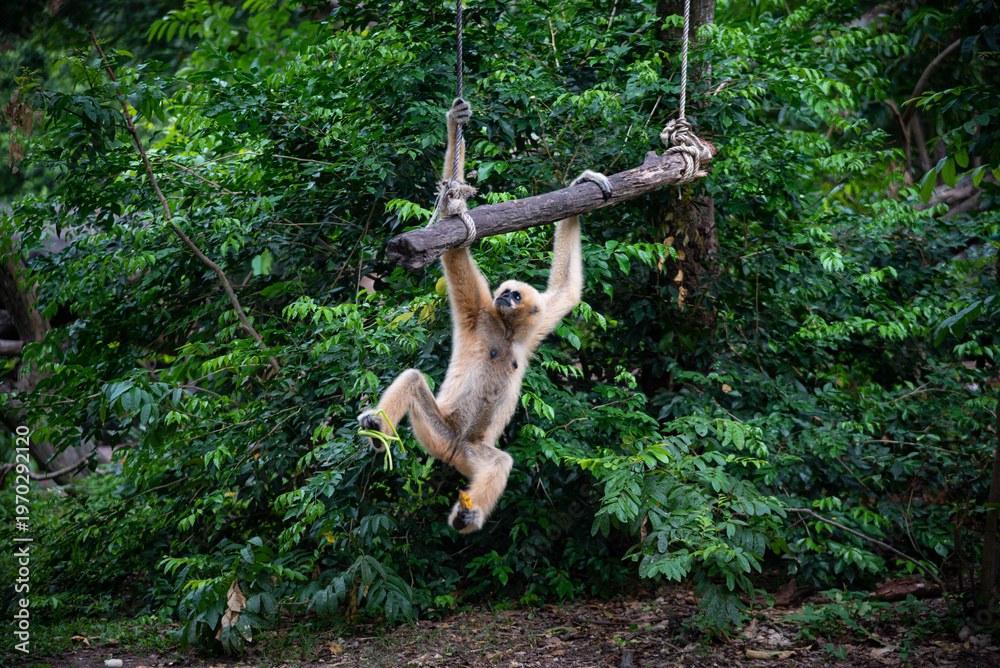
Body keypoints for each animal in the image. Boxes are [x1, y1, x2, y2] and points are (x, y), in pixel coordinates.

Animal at [359, 98, 611, 533]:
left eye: (514, 294)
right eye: (503, 292)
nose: (505, 298)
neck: (506, 333)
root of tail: (451, 450)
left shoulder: (534, 329)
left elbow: (567, 290)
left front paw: (583, 184)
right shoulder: (479, 309)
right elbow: (455, 250)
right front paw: (453, 125)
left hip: (471, 452)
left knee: (498, 463)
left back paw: (468, 514)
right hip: (438, 429)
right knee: (413, 381)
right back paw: (379, 431)